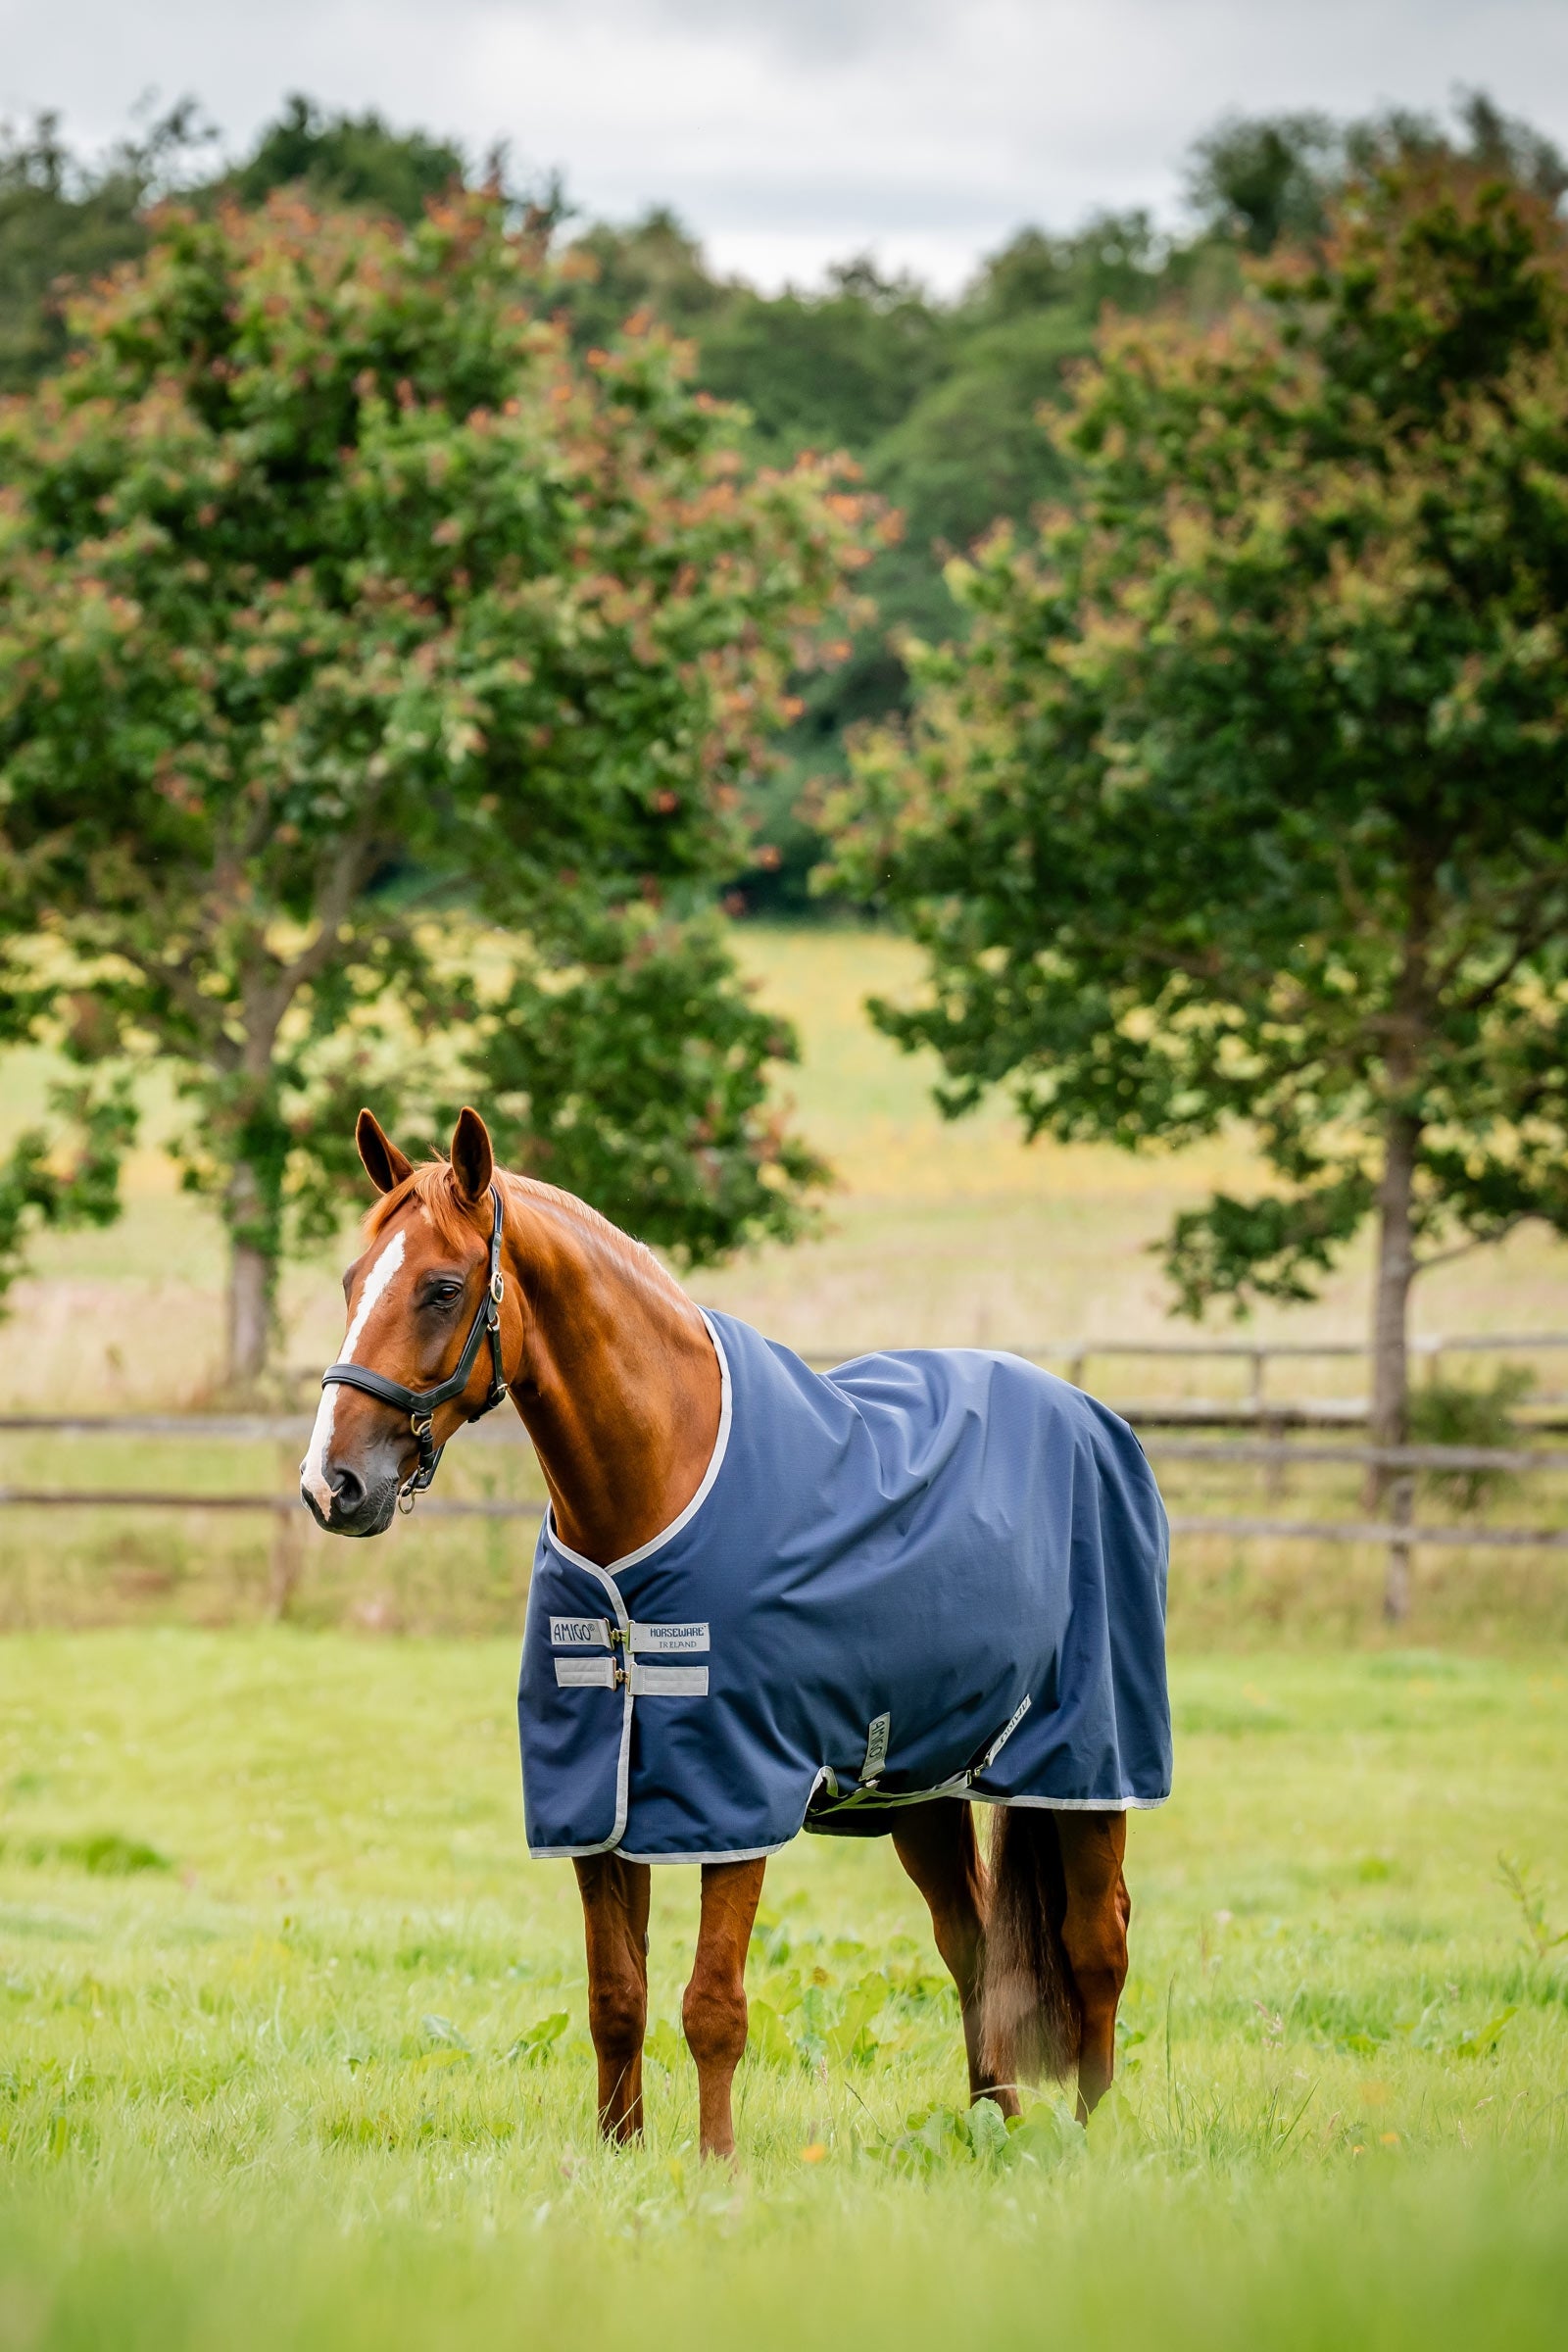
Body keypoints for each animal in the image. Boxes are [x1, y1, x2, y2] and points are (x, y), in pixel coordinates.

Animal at [302, 1106, 1171, 2159]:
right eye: (352, 1282)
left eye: (439, 1287)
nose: (332, 1485)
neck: (657, 1486)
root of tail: (1093, 1418)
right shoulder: (597, 1800)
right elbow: (616, 1999)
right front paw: (620, 2156)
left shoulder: (735, 1792)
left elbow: (712, 2005)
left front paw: (716, 2167)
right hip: (921, 1784)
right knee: (971, 1947)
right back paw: (991, 2125)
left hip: (1088, 1766)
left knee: (1097, 1943)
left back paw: (1092, 2134)